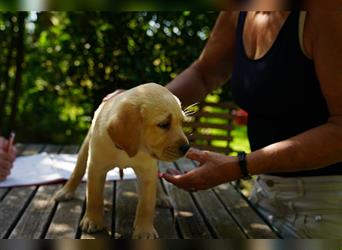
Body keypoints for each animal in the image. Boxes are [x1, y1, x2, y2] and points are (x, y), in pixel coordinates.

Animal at [54, 83, 191, 239]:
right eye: (164, 124)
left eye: (182, 122)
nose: (186, 148)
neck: (127, 149)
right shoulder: (95, 168)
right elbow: (94, 197)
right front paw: (93, 220)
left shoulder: (147, 171)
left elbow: (146, 204)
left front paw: (144, 231)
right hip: (85, 147)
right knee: (77, 172)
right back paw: (66, 191)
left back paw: (161, 197)